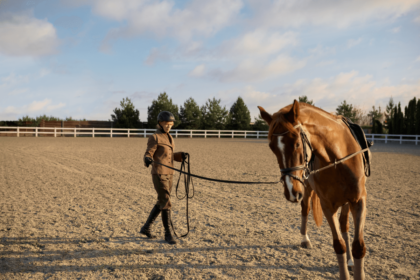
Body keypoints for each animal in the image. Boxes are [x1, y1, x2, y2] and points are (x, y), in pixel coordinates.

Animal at [258, 101, 370, 280]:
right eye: (271, 147)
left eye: (297, 143)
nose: (290, 191)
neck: (338, 160)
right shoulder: (327, 205)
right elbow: (339, 245)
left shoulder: (358, 201)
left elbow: (358, 246)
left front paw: (353, 262)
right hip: (306, 188)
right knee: (305, 209)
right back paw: (305, 239)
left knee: (344, 225)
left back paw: (350, 262)